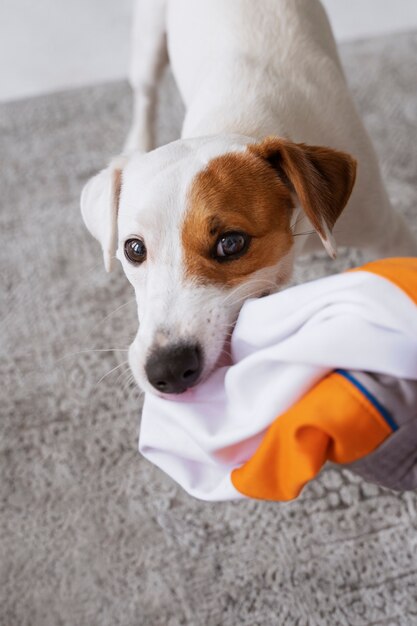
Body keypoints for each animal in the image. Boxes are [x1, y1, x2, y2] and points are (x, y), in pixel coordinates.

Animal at [80, 0, 416, 392]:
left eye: (231, 243)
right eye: (134, 249)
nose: (168, 370)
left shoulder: (388, 233)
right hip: (149, 43)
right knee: (146, 93)